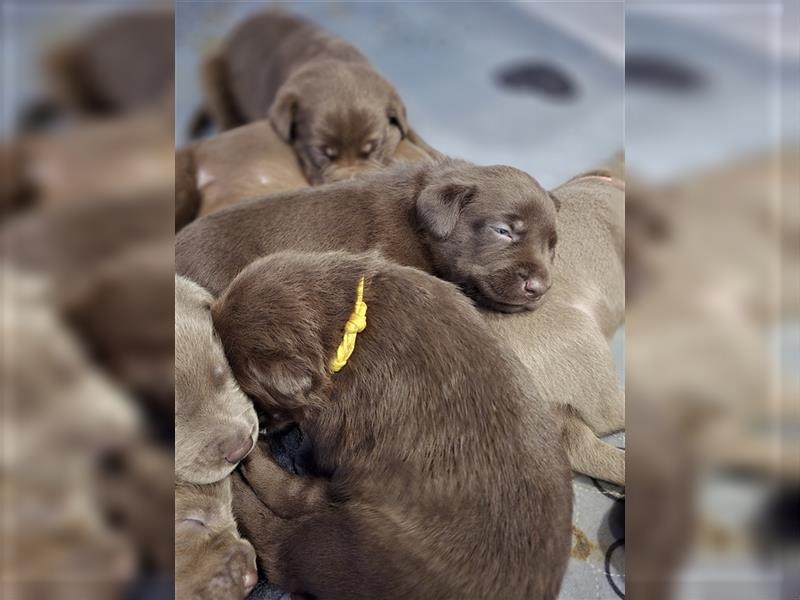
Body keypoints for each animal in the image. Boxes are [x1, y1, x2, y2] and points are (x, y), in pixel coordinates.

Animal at [214, 251, 576, 596]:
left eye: (254, 396)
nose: (259, 426)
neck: (348, 327)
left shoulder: (335, 427)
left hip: (359, 544)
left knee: (281, 540)